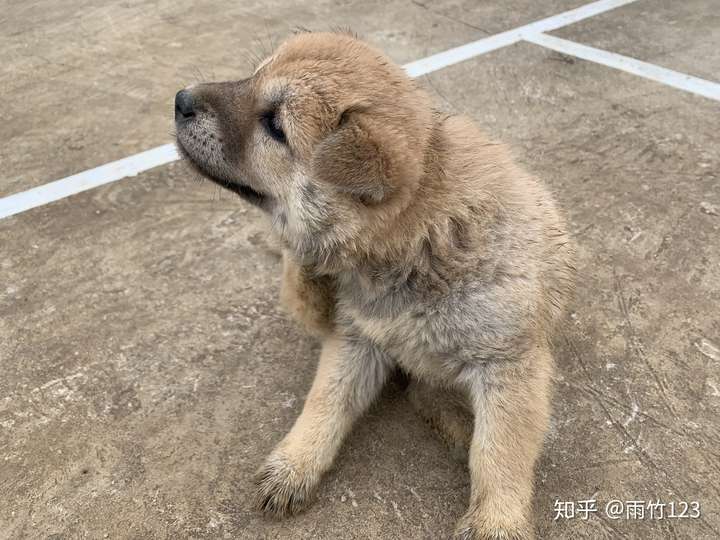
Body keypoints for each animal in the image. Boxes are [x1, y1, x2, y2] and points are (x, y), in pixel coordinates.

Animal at [176, 31, 580, 536]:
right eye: (252, 77)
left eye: (274, 126)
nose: (180, 99)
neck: (417, 241)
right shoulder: (356, 338)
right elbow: (325, 402)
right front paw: (295, 465)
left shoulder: (510, 364)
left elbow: (499, 453)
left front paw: (496, 521)